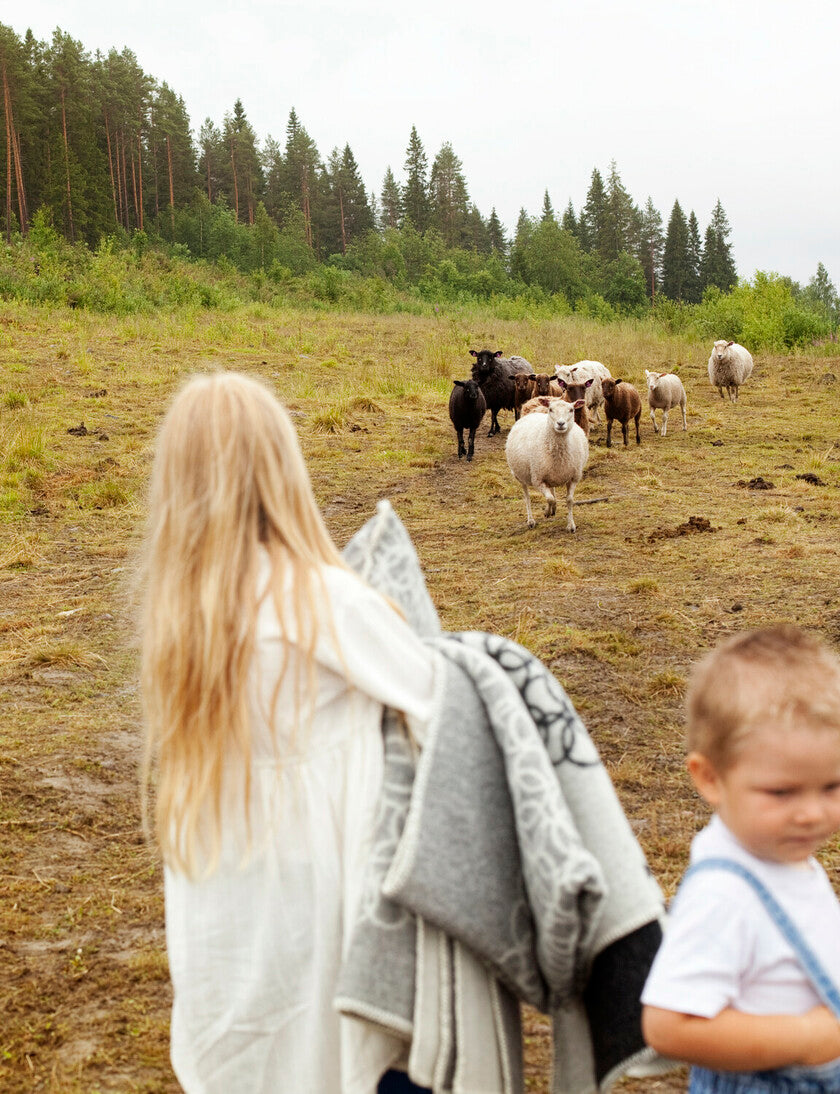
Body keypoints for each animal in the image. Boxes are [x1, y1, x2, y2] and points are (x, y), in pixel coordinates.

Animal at [505, 398, 590, 533]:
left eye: (571, 410)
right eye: (550, 409)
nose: (560, 423)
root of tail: (533, 413)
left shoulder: (574, 477)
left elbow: (569, 500)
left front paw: (571, 525)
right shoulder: (537, 479)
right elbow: (550, 499)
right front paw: (547, 511)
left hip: (551, 474)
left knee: (551, 488)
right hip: (520, 476)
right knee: (527, 496)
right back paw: (531, 521)